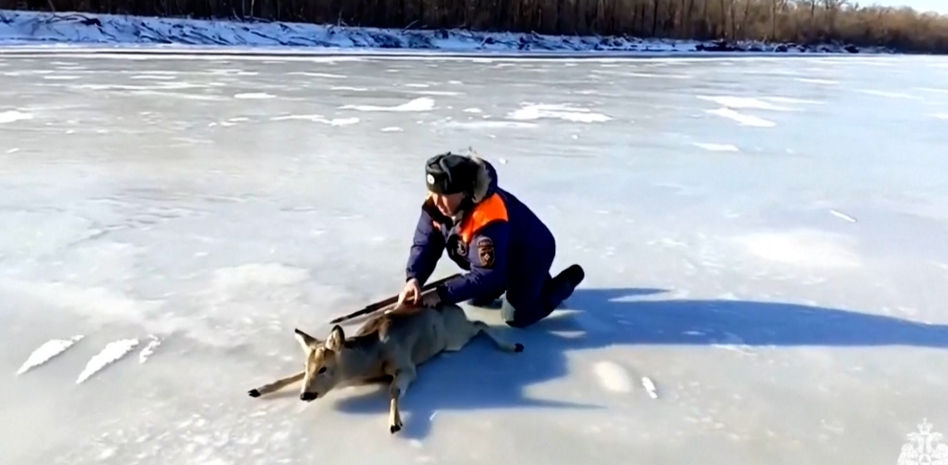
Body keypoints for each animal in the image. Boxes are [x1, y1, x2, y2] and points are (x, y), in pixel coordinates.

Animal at [247, 301, 524, 434]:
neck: (368, 358)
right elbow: (289, 376)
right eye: (308, 366)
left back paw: (512, 345)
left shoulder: (406, 366)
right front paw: (258, 389)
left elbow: (393, 391)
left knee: (480, 324)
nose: (306, 395)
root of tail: (455, 307)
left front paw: (395, 423)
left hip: (454, 338)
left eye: (324, 368)